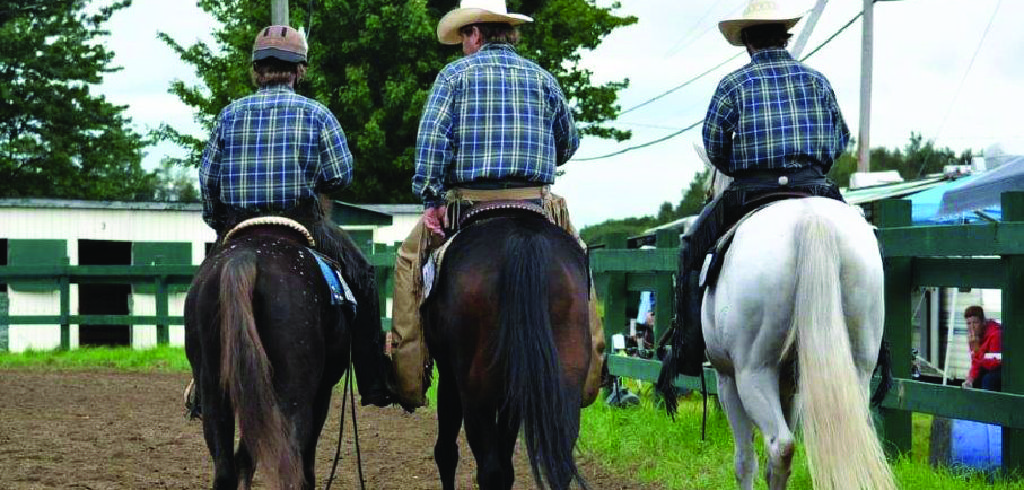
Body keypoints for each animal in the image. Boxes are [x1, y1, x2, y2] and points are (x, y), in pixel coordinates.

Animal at [184, 226, 356, 490]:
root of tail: (244, 258)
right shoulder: (322, 393)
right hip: (293, 397)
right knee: (290, 466)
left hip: (215, 389)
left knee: (226, 469)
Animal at [419, 211, 589, 490]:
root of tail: (524, 237)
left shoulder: (449, 376)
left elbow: (446, 451)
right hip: (567, 379)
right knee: (560, 464)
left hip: (476, 392)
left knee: (489, 470)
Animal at [688, 169, 897, 490]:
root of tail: (813, 220)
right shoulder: (792, 387)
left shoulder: (726, 379)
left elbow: (744, 461)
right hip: (858, 370)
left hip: (753, 373)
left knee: (780, 445)